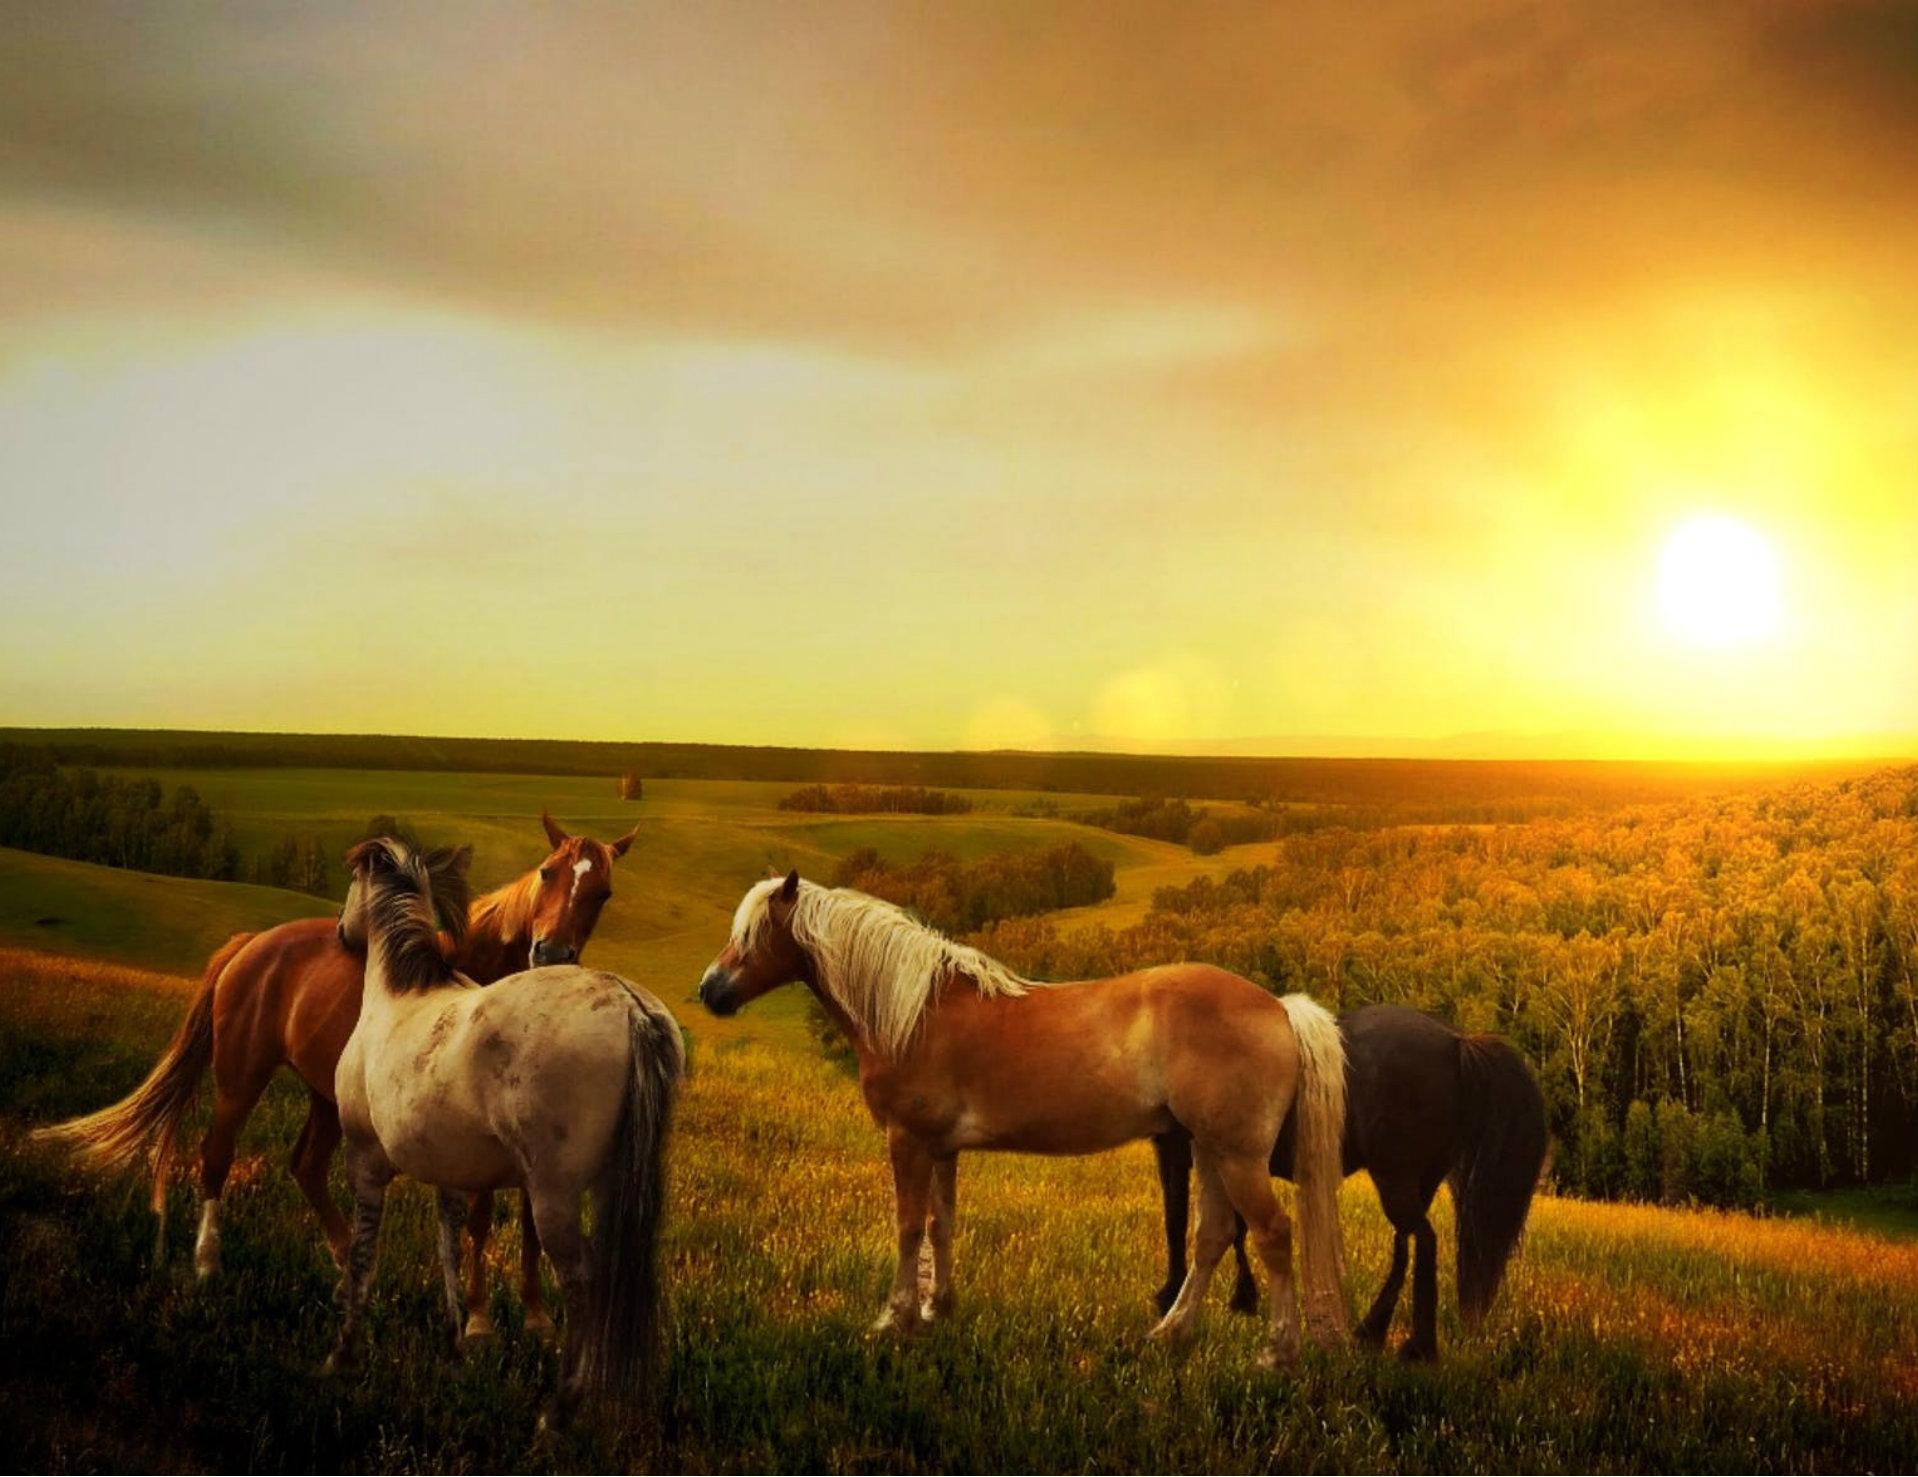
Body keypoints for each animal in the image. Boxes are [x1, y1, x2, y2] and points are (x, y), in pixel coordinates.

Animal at [35, 813, 636, 1342]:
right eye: (547, 873)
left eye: (603, 893)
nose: (549, 953)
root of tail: (253, 942)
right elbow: (482, 1217)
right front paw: (481, 1322)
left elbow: (530, 1220)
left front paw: (536, 1318)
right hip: (241, 1076)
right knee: (217, 1154)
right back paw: (208, 1264)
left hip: (326, 1097)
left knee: (306, 1165)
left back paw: (353, 1272)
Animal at [333, 828, 686, 1411]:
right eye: (547, 873)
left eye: (352, 883)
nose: (342, 933)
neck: (400, 993)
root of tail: (630, 1006)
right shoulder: (452, 1174)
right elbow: (451, 1245)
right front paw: (459, 1339)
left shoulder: (366, 1160)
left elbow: (364, 1257)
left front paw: (342, 1355)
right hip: (613, 1186)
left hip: (554, 1197)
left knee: (582, 1280)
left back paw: (559, 1410)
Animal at [694, 867, 1350, 1365]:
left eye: (754, 934)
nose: (710, 990)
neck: (916, 1011)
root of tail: (1278, 1007)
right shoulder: (942, 1147)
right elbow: (940, 1225)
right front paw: (938, 1309)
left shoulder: (907, 1140)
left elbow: (907, 1227)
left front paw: (894, 1319)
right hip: (1207, 1149)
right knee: (1212, 1236)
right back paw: (1170, 1334)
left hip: (1237, 1156)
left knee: (1273, 1234)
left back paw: (1277, 1352)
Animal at [1150, 997, 1542, 1358]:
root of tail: (1457, 1042)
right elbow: (1235, 1228)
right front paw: (1243, 1297)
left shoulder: (1182, 1153)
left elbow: (1179, 1220)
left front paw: (1172, 1295)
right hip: (1416, 1183)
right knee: (1405, 1242)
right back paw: (1371, 1331)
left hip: (1395, 1178)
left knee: (1423, 1240)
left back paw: (1417, 1346)